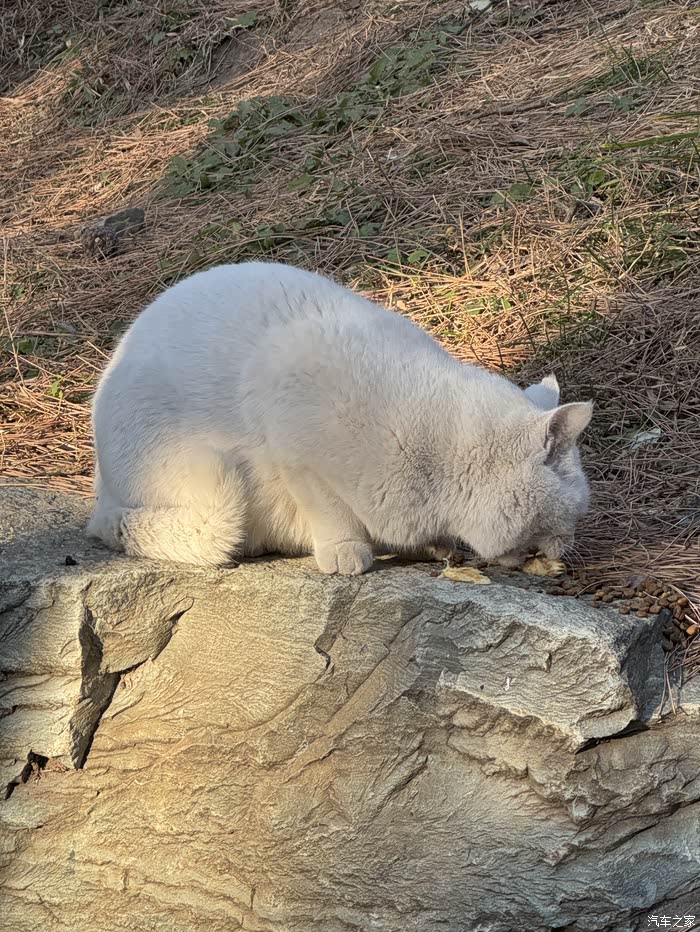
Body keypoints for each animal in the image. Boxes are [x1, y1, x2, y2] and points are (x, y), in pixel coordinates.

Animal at [87, 261, 593, 576]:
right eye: (575, 510)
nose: (572, 542)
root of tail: (101, 492)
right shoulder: (295, 451)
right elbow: (330, 510)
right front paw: (346, 552)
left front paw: (433, 547)